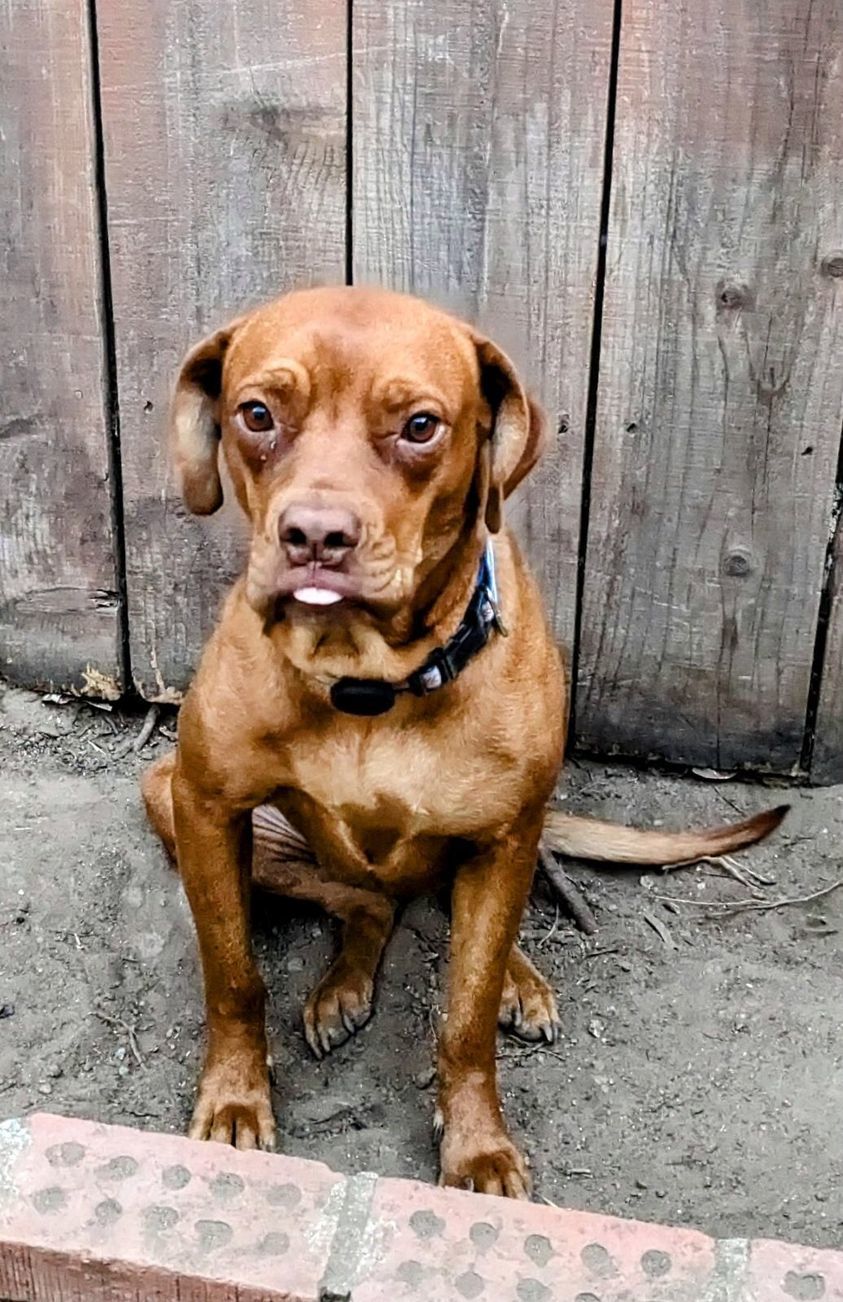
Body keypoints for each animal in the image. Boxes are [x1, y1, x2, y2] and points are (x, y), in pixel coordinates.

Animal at [143, 287, 786, 1197]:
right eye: (257, 414)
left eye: (420, 426)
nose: (315, 535)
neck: (367, 682)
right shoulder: (208, 809)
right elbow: (234, 977)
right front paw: (235, 1099)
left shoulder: (503, 835)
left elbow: (466, 1015)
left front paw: (476, 1144)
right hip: (171, 797)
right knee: (366, 901)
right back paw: (342, 985)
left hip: (503, 846)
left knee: (464, 917)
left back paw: (517, 979)